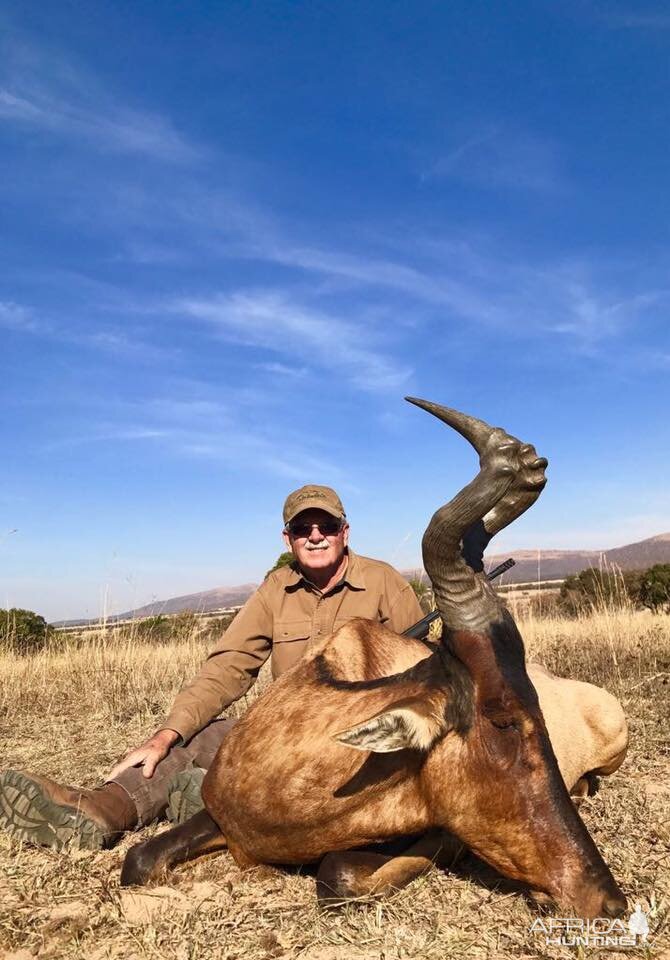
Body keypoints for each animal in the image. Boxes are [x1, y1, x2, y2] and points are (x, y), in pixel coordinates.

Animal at [122, 402, 632, 920]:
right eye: (503, 718)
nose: (608, 901)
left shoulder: (434, 829)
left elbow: (338, 872)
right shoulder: (215, 817)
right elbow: (137, 860)